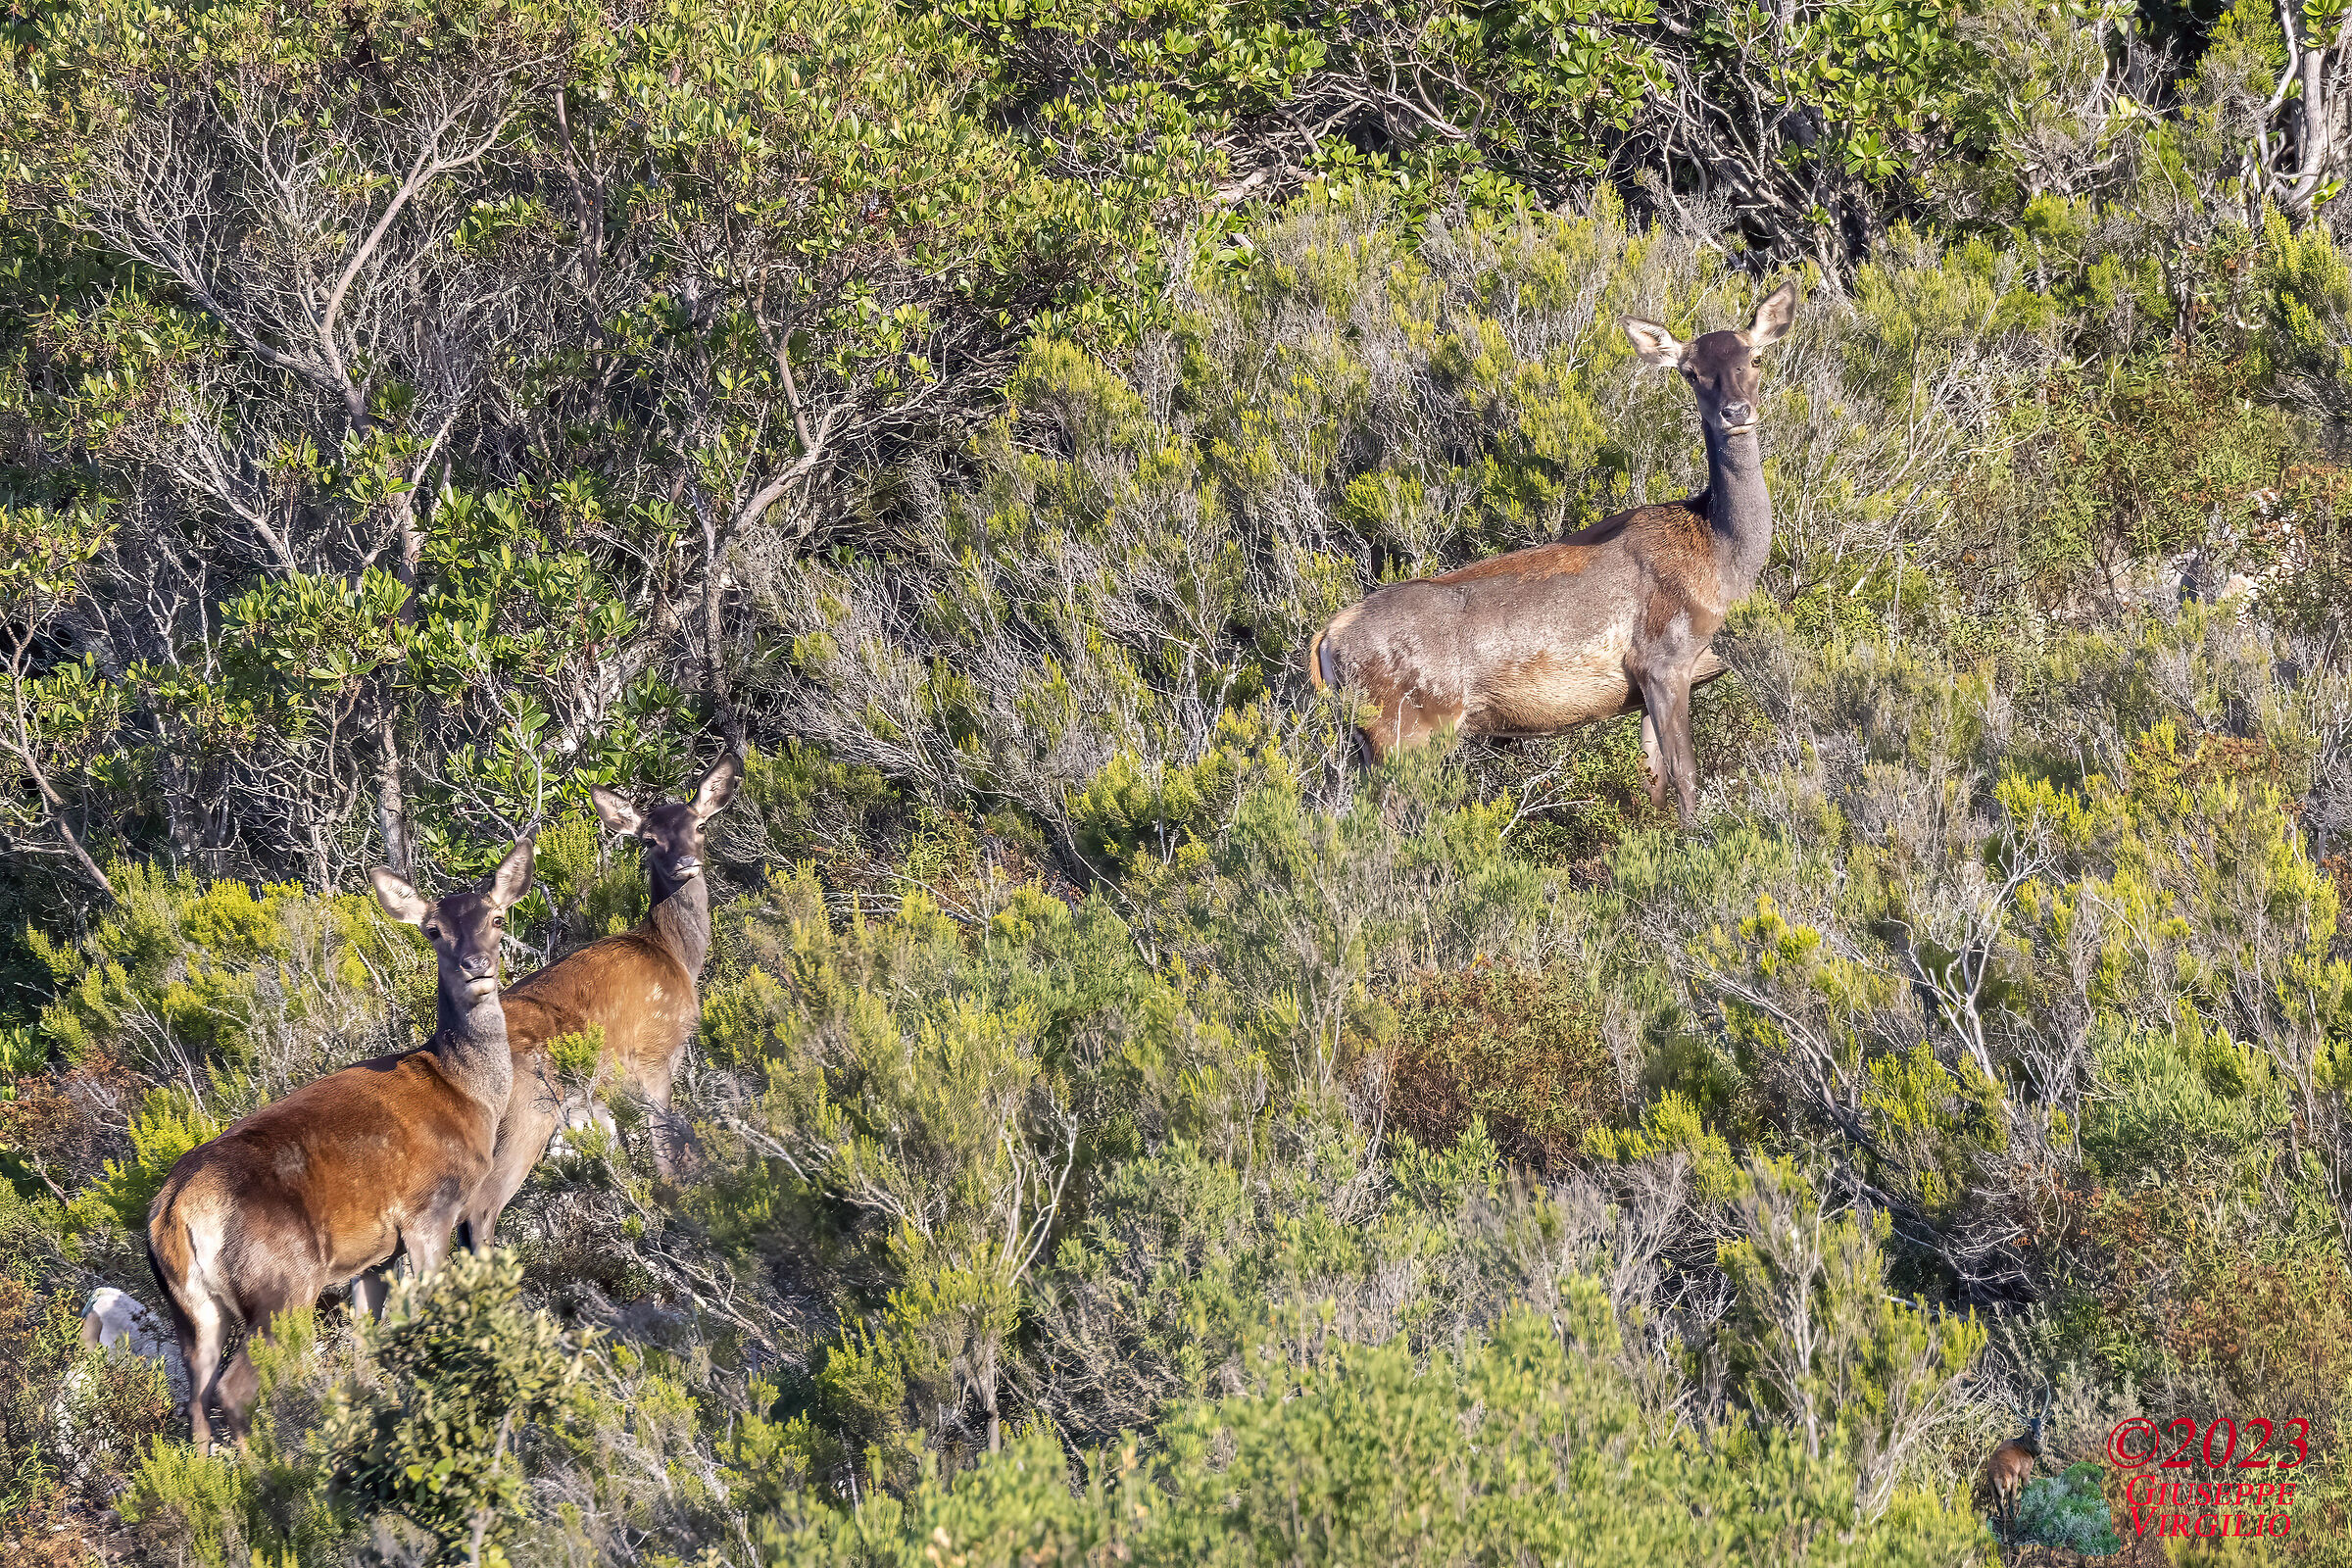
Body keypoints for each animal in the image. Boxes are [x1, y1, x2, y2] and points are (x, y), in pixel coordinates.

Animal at [144, 838, 533, 1449]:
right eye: (433, 930)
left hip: (193, 1310)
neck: (467, 1091)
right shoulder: (430, 1210)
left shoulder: (372, 1255)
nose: (476, 966)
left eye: (495, 918)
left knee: (197, 1403)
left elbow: (367, 1346)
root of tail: (175, 1211)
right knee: (235, 1391)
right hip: (283, 1285)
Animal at [1305, 280, 1798, 823]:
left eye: (1754, 358)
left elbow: (1655, 779)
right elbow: (1687, 777)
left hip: (1368, 738)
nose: (1736, 412)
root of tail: (1327, 638)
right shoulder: (1664, 656)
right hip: (1404, 729)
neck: (1718, 555)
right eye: (1690, 372)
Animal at [1986, 1381, 2053, 1547]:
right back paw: (2016, 1530)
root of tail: (1999, 1477)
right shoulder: (2025, 1471)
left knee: (2001, 1511)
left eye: (2042, 1423)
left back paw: (2004, 1538)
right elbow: (2028, 1491)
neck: (2029, 1452)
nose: (2038, 1436)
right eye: (2029, 1426)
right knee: (2010, 1508)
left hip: (1992, 1488)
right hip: (2013, 1481)